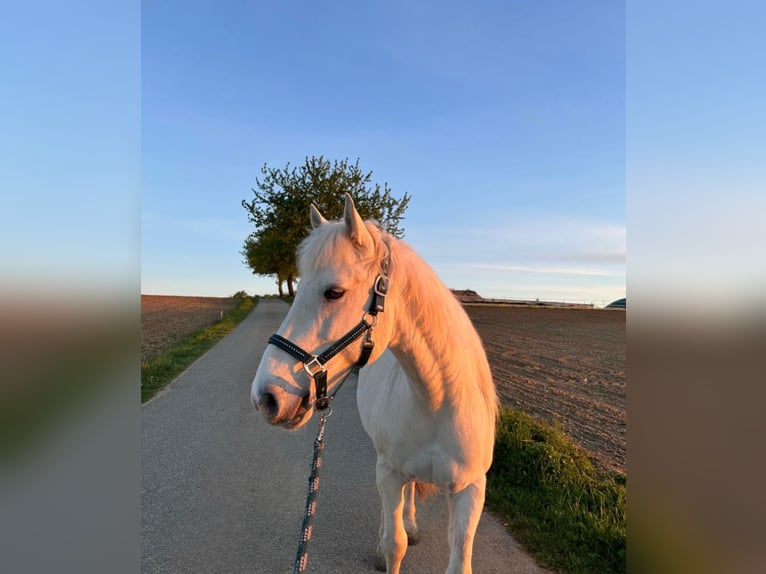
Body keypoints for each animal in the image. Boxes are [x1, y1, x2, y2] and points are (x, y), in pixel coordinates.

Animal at [252, 196, 500, 572]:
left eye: (334, 292)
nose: (265, 397)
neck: (437, 403)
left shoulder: (470, 488)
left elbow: (459, 559)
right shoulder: (389, 472)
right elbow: (395, 544)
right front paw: (389, 546)